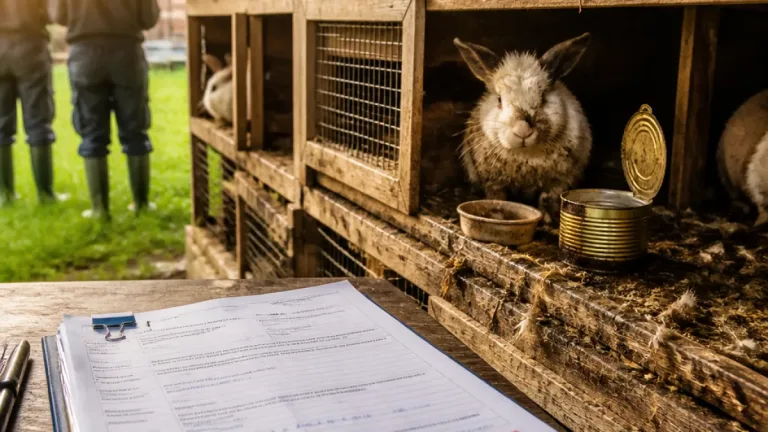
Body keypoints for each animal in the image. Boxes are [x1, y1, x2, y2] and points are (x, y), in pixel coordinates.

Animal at [454, 33, 593, 224]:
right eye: (499, 99)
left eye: (543, 97)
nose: (522, 130)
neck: (526, 155)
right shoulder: (492, 181)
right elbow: (498, 197)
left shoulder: (560, 181)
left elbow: (547, 197)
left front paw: (547, 219)